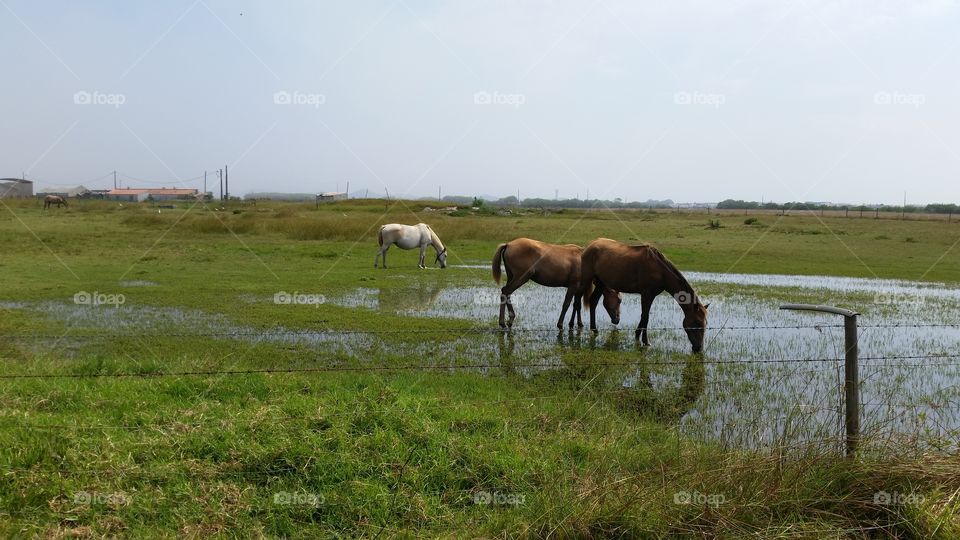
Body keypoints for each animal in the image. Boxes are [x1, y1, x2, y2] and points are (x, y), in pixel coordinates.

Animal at [492, 238, 621, 330]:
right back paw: (505, 321)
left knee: (506, 293)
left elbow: (577, 305)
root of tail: (508, 244)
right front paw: (560, 324)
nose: (617, 320)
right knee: (506, 291)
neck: (584, 260)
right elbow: (567, 304)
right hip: (521, 277)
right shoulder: (573, 286)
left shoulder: (579, 288)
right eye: (619, 300)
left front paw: (576, 324)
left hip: (512, 277)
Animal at [580, 238, 708, 353]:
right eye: (697, 323)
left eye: (705, 324)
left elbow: (644, 316)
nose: (698, 348)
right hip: (586, 279)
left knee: (593, 301)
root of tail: (591, 245)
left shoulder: (651, 296)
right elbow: (645, 317)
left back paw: (594, 329)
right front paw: (645, 341)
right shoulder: (647, 294)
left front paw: (638, 335)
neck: (660, 271)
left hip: (601, 283)